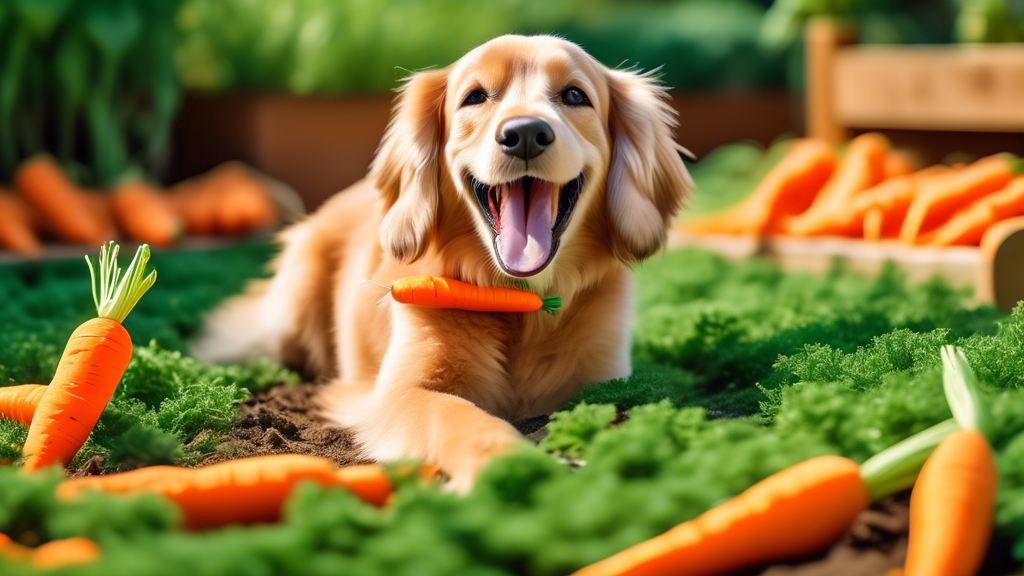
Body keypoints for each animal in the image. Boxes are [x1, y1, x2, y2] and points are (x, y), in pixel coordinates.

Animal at [193, 33, 688, 485]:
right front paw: (508, 468)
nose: (525, 133)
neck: (521, 304)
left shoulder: (604, 377)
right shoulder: (403, 391)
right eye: (476, 96)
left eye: (574, 96)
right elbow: (461, 417)